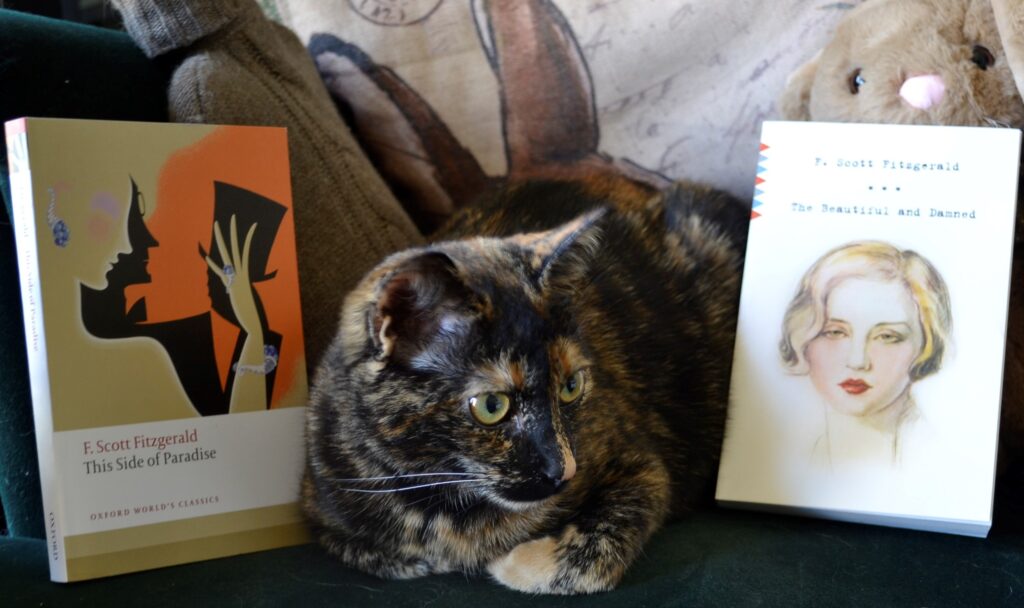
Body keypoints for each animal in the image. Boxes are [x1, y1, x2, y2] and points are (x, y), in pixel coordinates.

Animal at [299, 176, 749, 593]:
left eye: (571, 386)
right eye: (491, 406)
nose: (564, 470)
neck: (442, 509)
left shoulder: (643, 466)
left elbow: (595, 547)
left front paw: (516, 563)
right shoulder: (320, 507)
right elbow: (376, 555)